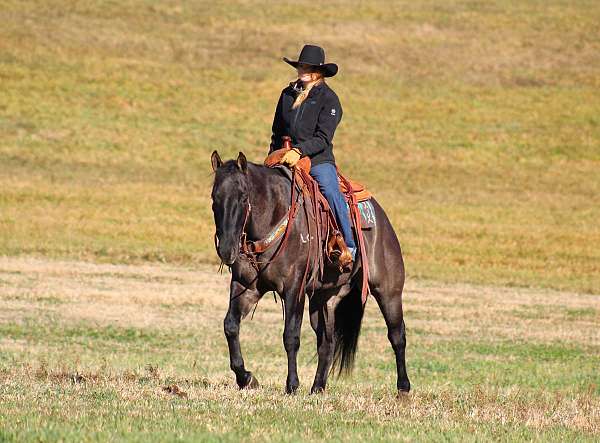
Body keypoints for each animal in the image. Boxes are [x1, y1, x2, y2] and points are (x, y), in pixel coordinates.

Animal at [209, 153, 410, 396]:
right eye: (214, 197)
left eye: (243, 196)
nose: (226, 249)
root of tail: (381, 219)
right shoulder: (245, 286)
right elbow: (230, 325)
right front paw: (246, 378)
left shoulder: (294, 288)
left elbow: (291, 336)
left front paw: (292, 385)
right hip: (324, 299)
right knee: (327, 343)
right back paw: (318, 387)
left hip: (388, 291)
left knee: (397, 335)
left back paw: (403, 389)